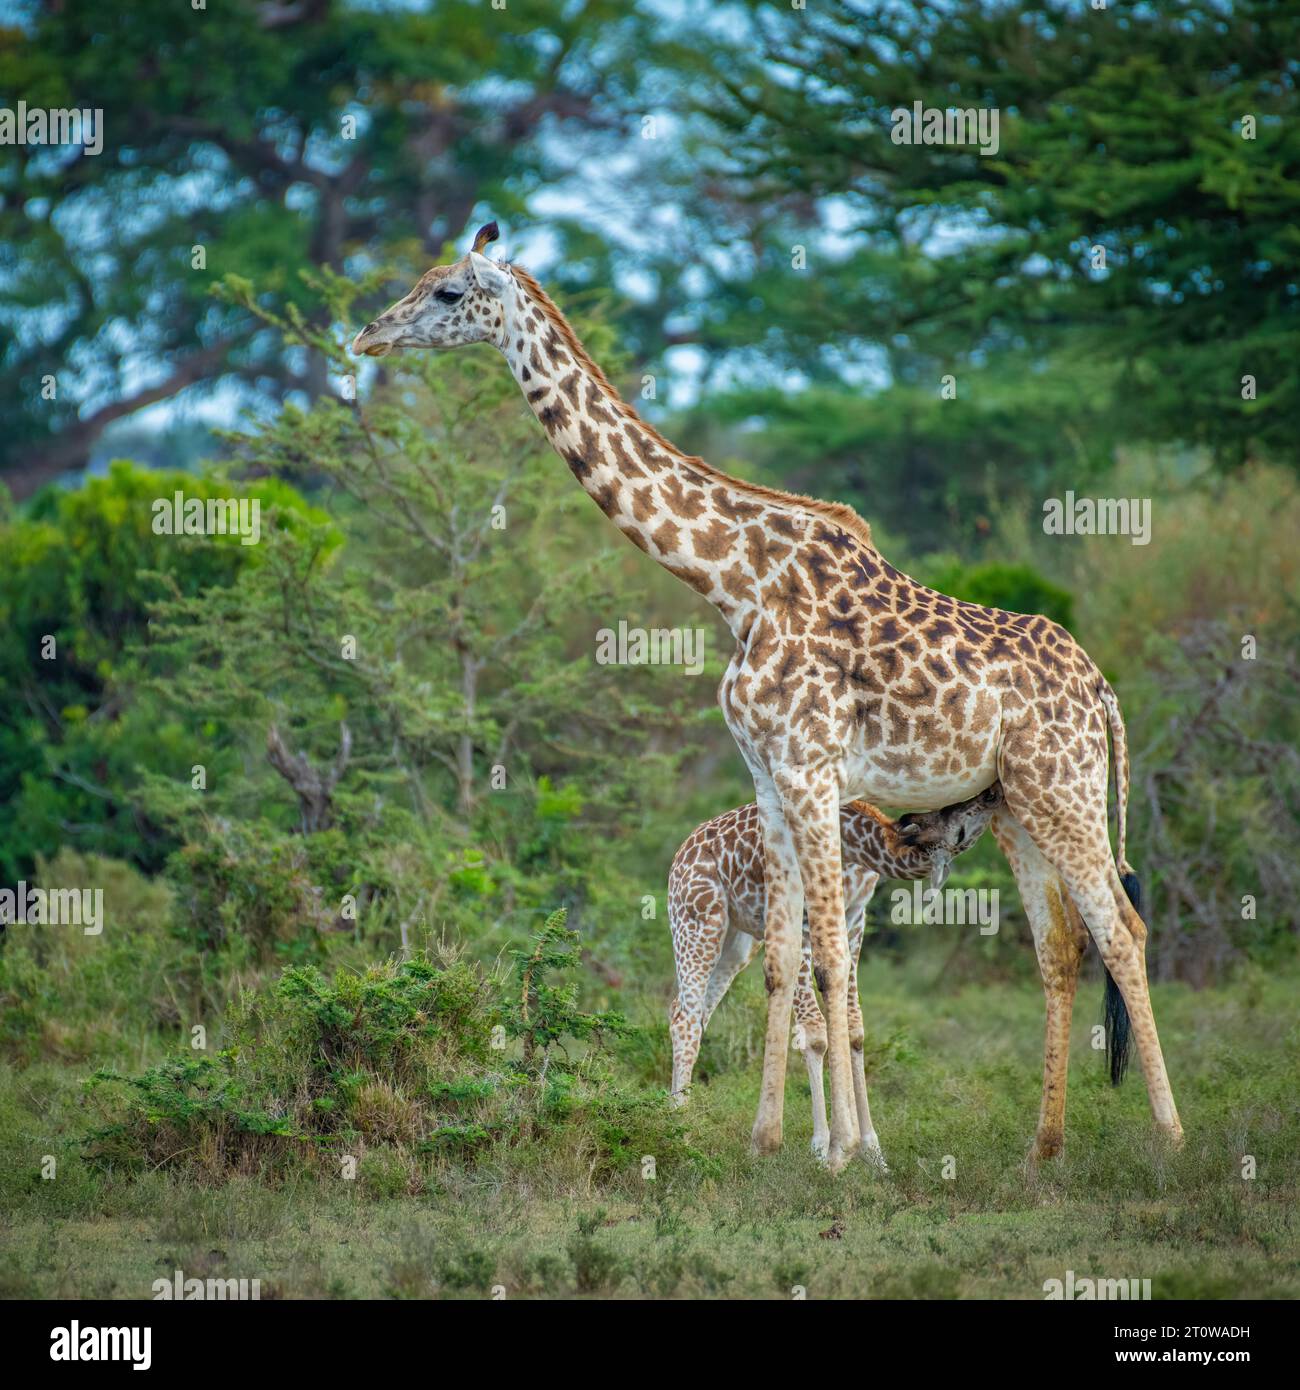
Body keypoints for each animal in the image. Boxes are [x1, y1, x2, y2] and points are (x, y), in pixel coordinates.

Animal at [664, 783, 1001, 1162]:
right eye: (949, 814)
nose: (991, 793)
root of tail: (681, 855)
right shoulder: (804, 918)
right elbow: (814, 1032)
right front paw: (822, 1148)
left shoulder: (855, 917)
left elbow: (854, 1030)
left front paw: (873, 1154)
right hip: (698, 919)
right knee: (686, 1019)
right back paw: (680, 1133)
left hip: (737, 942)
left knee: (691, 1014)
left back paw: (676, 1117)